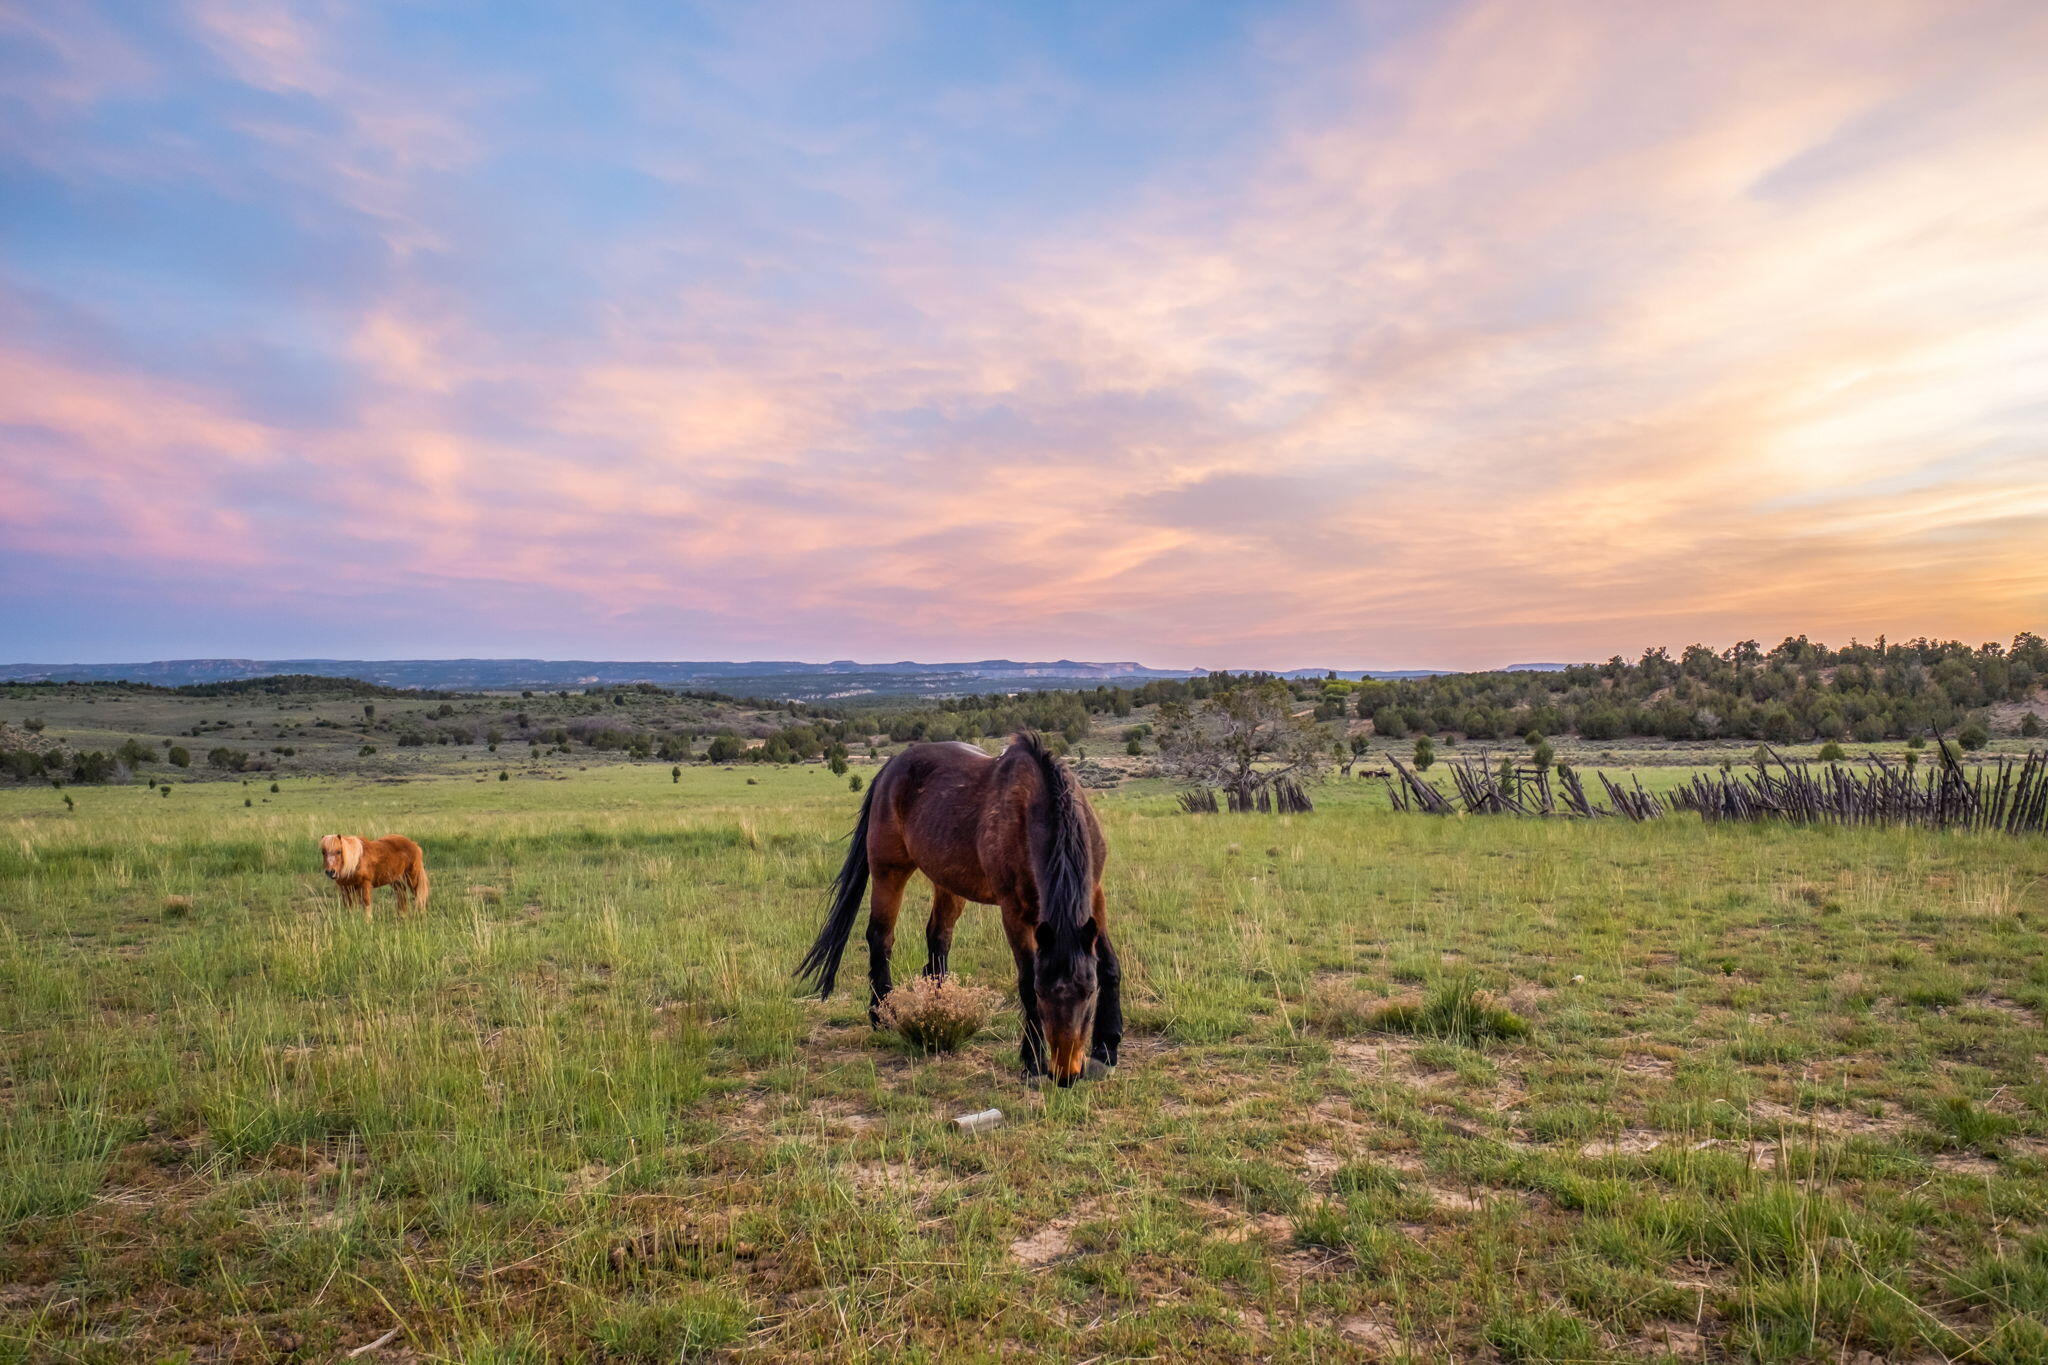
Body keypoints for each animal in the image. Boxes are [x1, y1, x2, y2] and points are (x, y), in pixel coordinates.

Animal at [797, 732, 1122, 1086]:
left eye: (1089, 993)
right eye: (1042, 993)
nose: (1065, 1075)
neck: (1037, 807)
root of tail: (891, 767)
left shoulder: (1095, 898)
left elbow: (1110, 966)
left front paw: (1106, 1049)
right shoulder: (1013, 912)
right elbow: (1024, 979)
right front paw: (1031, 1060)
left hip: (948, 882)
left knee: (938, 937)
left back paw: (938, 1010)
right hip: (889, 870)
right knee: (880, 937)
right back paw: (883, 1015)